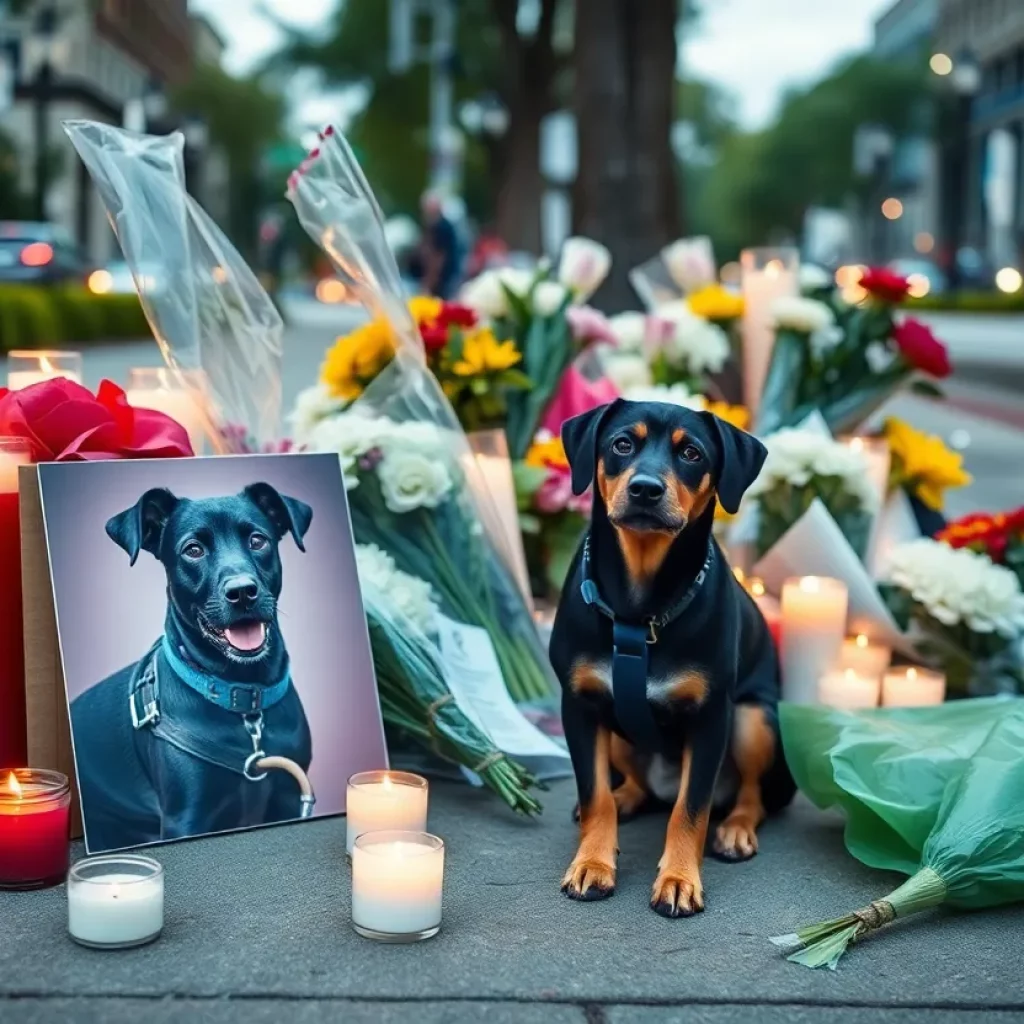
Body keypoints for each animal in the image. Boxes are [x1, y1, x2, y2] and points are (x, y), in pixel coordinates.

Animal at [70, 483, 313, 851]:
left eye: (258, 540)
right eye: (193, 550)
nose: (243, 592)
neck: (246, 702)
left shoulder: (287, 795)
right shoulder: (185, 816)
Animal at [548, 399, 794, 921]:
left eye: (691, 453)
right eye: (622, 443)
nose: (645, 488)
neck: (638, 608)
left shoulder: (711, 718)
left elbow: (691, 809)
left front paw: (679, 879)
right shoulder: (579, 705)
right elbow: (594, 794)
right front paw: (592, 862)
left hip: (752, 719)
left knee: (752, 796)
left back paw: (736, 829)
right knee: (632, 786)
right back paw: (627, 797)